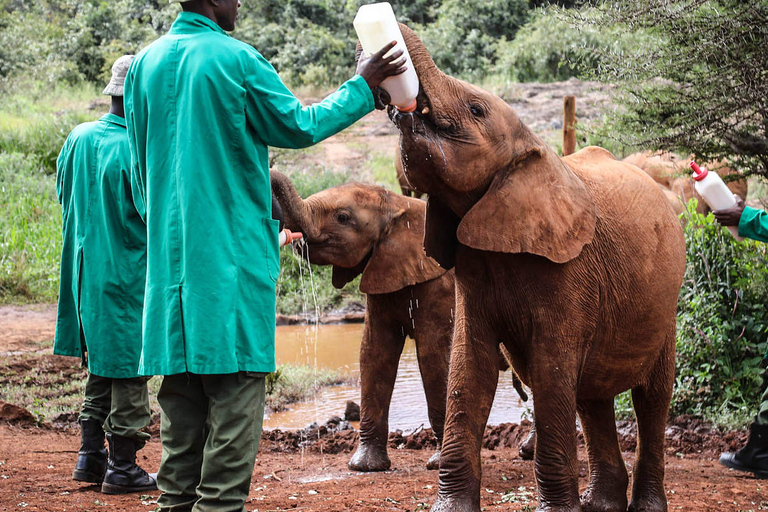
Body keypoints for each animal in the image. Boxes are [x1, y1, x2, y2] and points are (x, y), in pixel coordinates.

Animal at [272, 171, 456, 472]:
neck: (398, 205)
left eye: (343, 217)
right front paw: (364, 467)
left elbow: (434, 355)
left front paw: (440, 464)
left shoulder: (440, 284)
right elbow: (374, 353)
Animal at [388, 25, 688, 512]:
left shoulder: (569, 274)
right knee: (592, 398)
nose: (398, 100)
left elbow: (552, 371)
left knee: (651, 399)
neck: (532, 148)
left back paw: (642, 504)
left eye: (475, 109)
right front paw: (450, 507)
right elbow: (470, 368)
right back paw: (600, 504)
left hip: (666, 309)